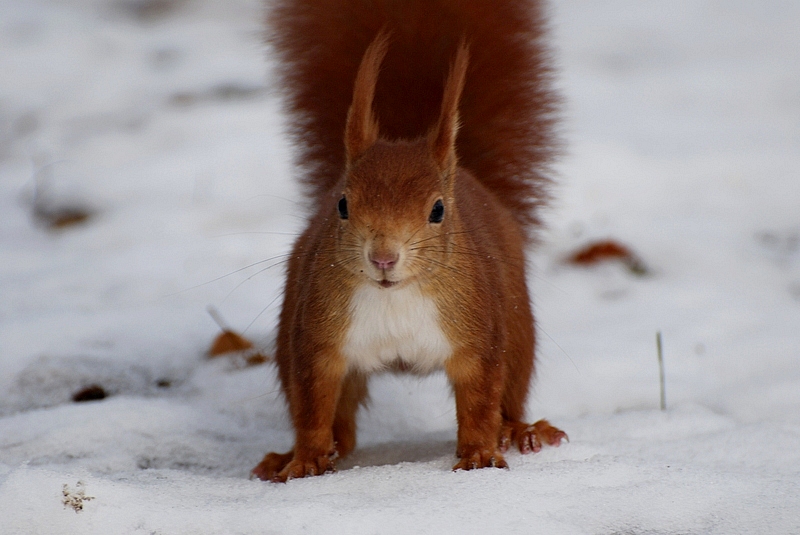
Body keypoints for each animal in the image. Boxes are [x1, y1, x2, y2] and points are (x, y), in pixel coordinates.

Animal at [253, 0, 564, 484]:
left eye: (437, 210)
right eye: (342, 204)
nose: (383, 258)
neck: (394, 297)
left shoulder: (478, 336)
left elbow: (479, 403)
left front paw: (478, 454)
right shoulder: (317, 340)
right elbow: (312, 407)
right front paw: (304, 459)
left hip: (517, 331)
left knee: (509, 396)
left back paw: (521, 431)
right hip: (292, 331)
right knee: (343, 431)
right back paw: (293, 457)